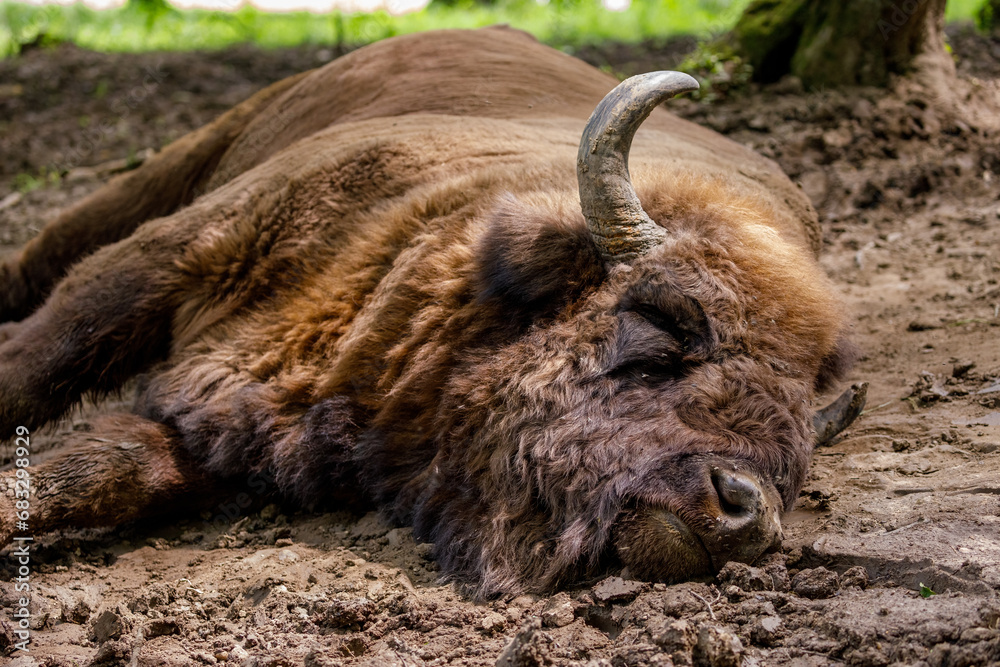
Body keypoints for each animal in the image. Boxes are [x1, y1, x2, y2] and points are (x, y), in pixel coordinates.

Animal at [0, 27, 861, 597]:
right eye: (660, 326)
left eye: (796, 436)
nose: (742, 511)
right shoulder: (170, 255)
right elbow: (33, 370)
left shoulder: (220, 426)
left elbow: (100, 469)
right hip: (184, 162)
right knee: (44, 254)